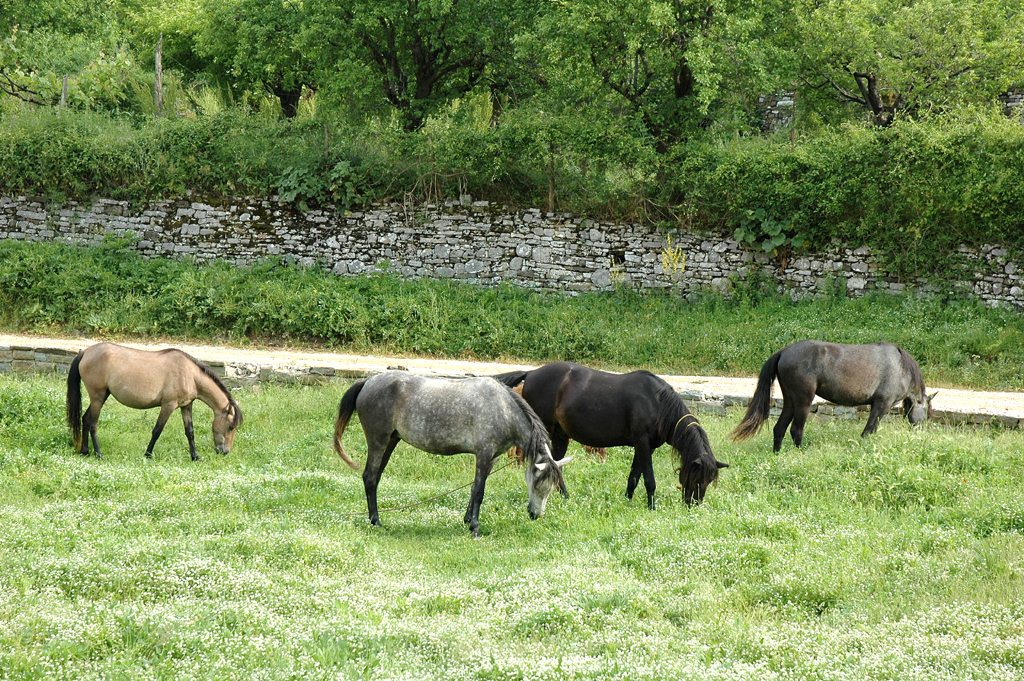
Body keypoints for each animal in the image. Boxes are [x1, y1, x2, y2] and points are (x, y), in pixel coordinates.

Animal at [67, 342, 242, 461]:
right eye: (231, 426)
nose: (224, 451)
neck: (189, 374)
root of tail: (85, 352)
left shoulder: (186, 405)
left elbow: (190, 432)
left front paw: (195, 456)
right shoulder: (168, 405)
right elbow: (157, 430)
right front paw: (148, 454)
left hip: (102, 396)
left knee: (85, 419)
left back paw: (85, 451)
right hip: (98, 396)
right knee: (93, 424)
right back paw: (98, 454)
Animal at [332, 372, 571, 537]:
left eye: (552, 488)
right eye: (538, 485)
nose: (535, 515)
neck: (503, 409)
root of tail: (367, 382)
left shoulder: (491, 458)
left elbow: (474, 488)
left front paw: (467, 520)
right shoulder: (483, 454)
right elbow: (479, 491)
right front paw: (475, 528)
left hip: (390, 441)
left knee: (375, 477)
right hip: (378, 440)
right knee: (370, 477)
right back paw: (376, 521)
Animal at [494, 362, 728, 509]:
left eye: (709, 480)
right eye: (696, 477)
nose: (693, 505)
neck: (659, 404)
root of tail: (531, 373)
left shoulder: (645, 446)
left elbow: (634, 477)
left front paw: (628, 501)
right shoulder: (643, 444)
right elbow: (649, 480)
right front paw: (651, 508)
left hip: (560, 437)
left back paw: (565, 499)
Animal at [730, 340, 936, 451]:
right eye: (926, 412)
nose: (920, 430)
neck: (900, 367)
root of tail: (783, 352)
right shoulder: (881, 405)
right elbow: (868, 431)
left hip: (790, 402)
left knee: (779, 429)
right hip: (803, 402)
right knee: (796, 430)